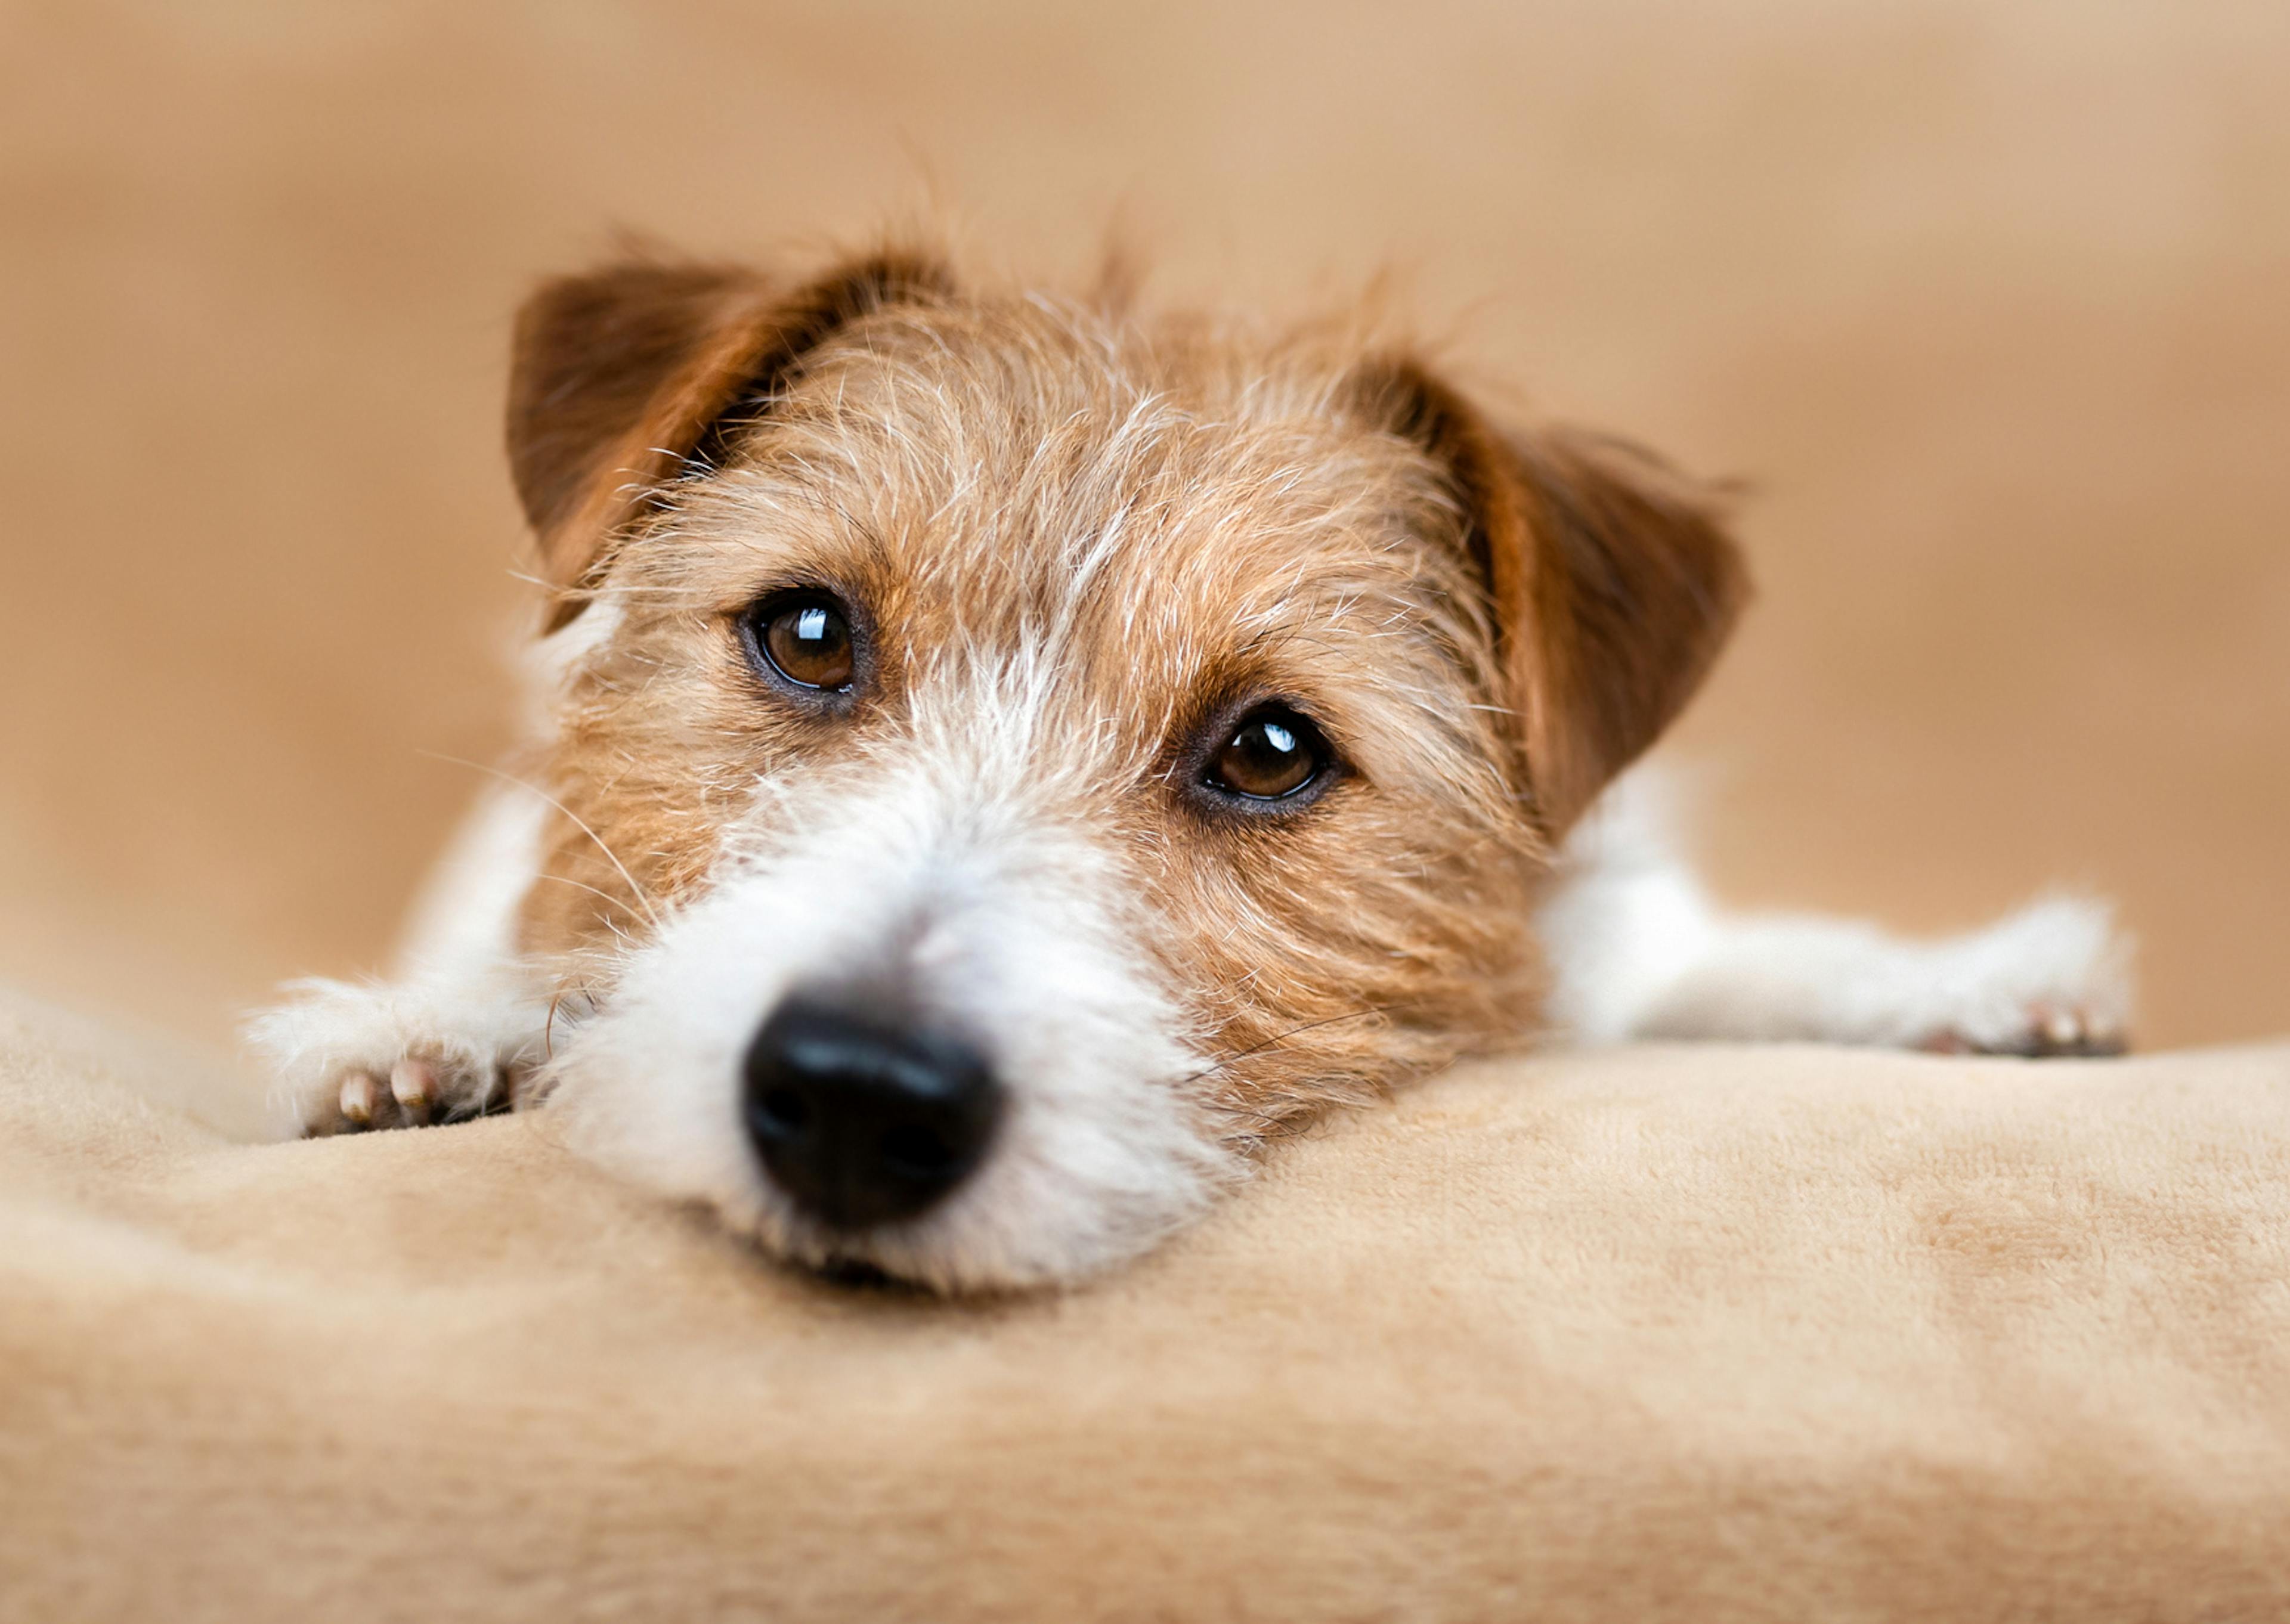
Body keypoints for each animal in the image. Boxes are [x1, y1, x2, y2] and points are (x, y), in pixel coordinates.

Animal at [250, 237, 2125, 1291]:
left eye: (1273, 748)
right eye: (808, 634)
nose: (860, 1097)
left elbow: (1713, 970)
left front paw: (1966, 990)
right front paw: (434, 1037)